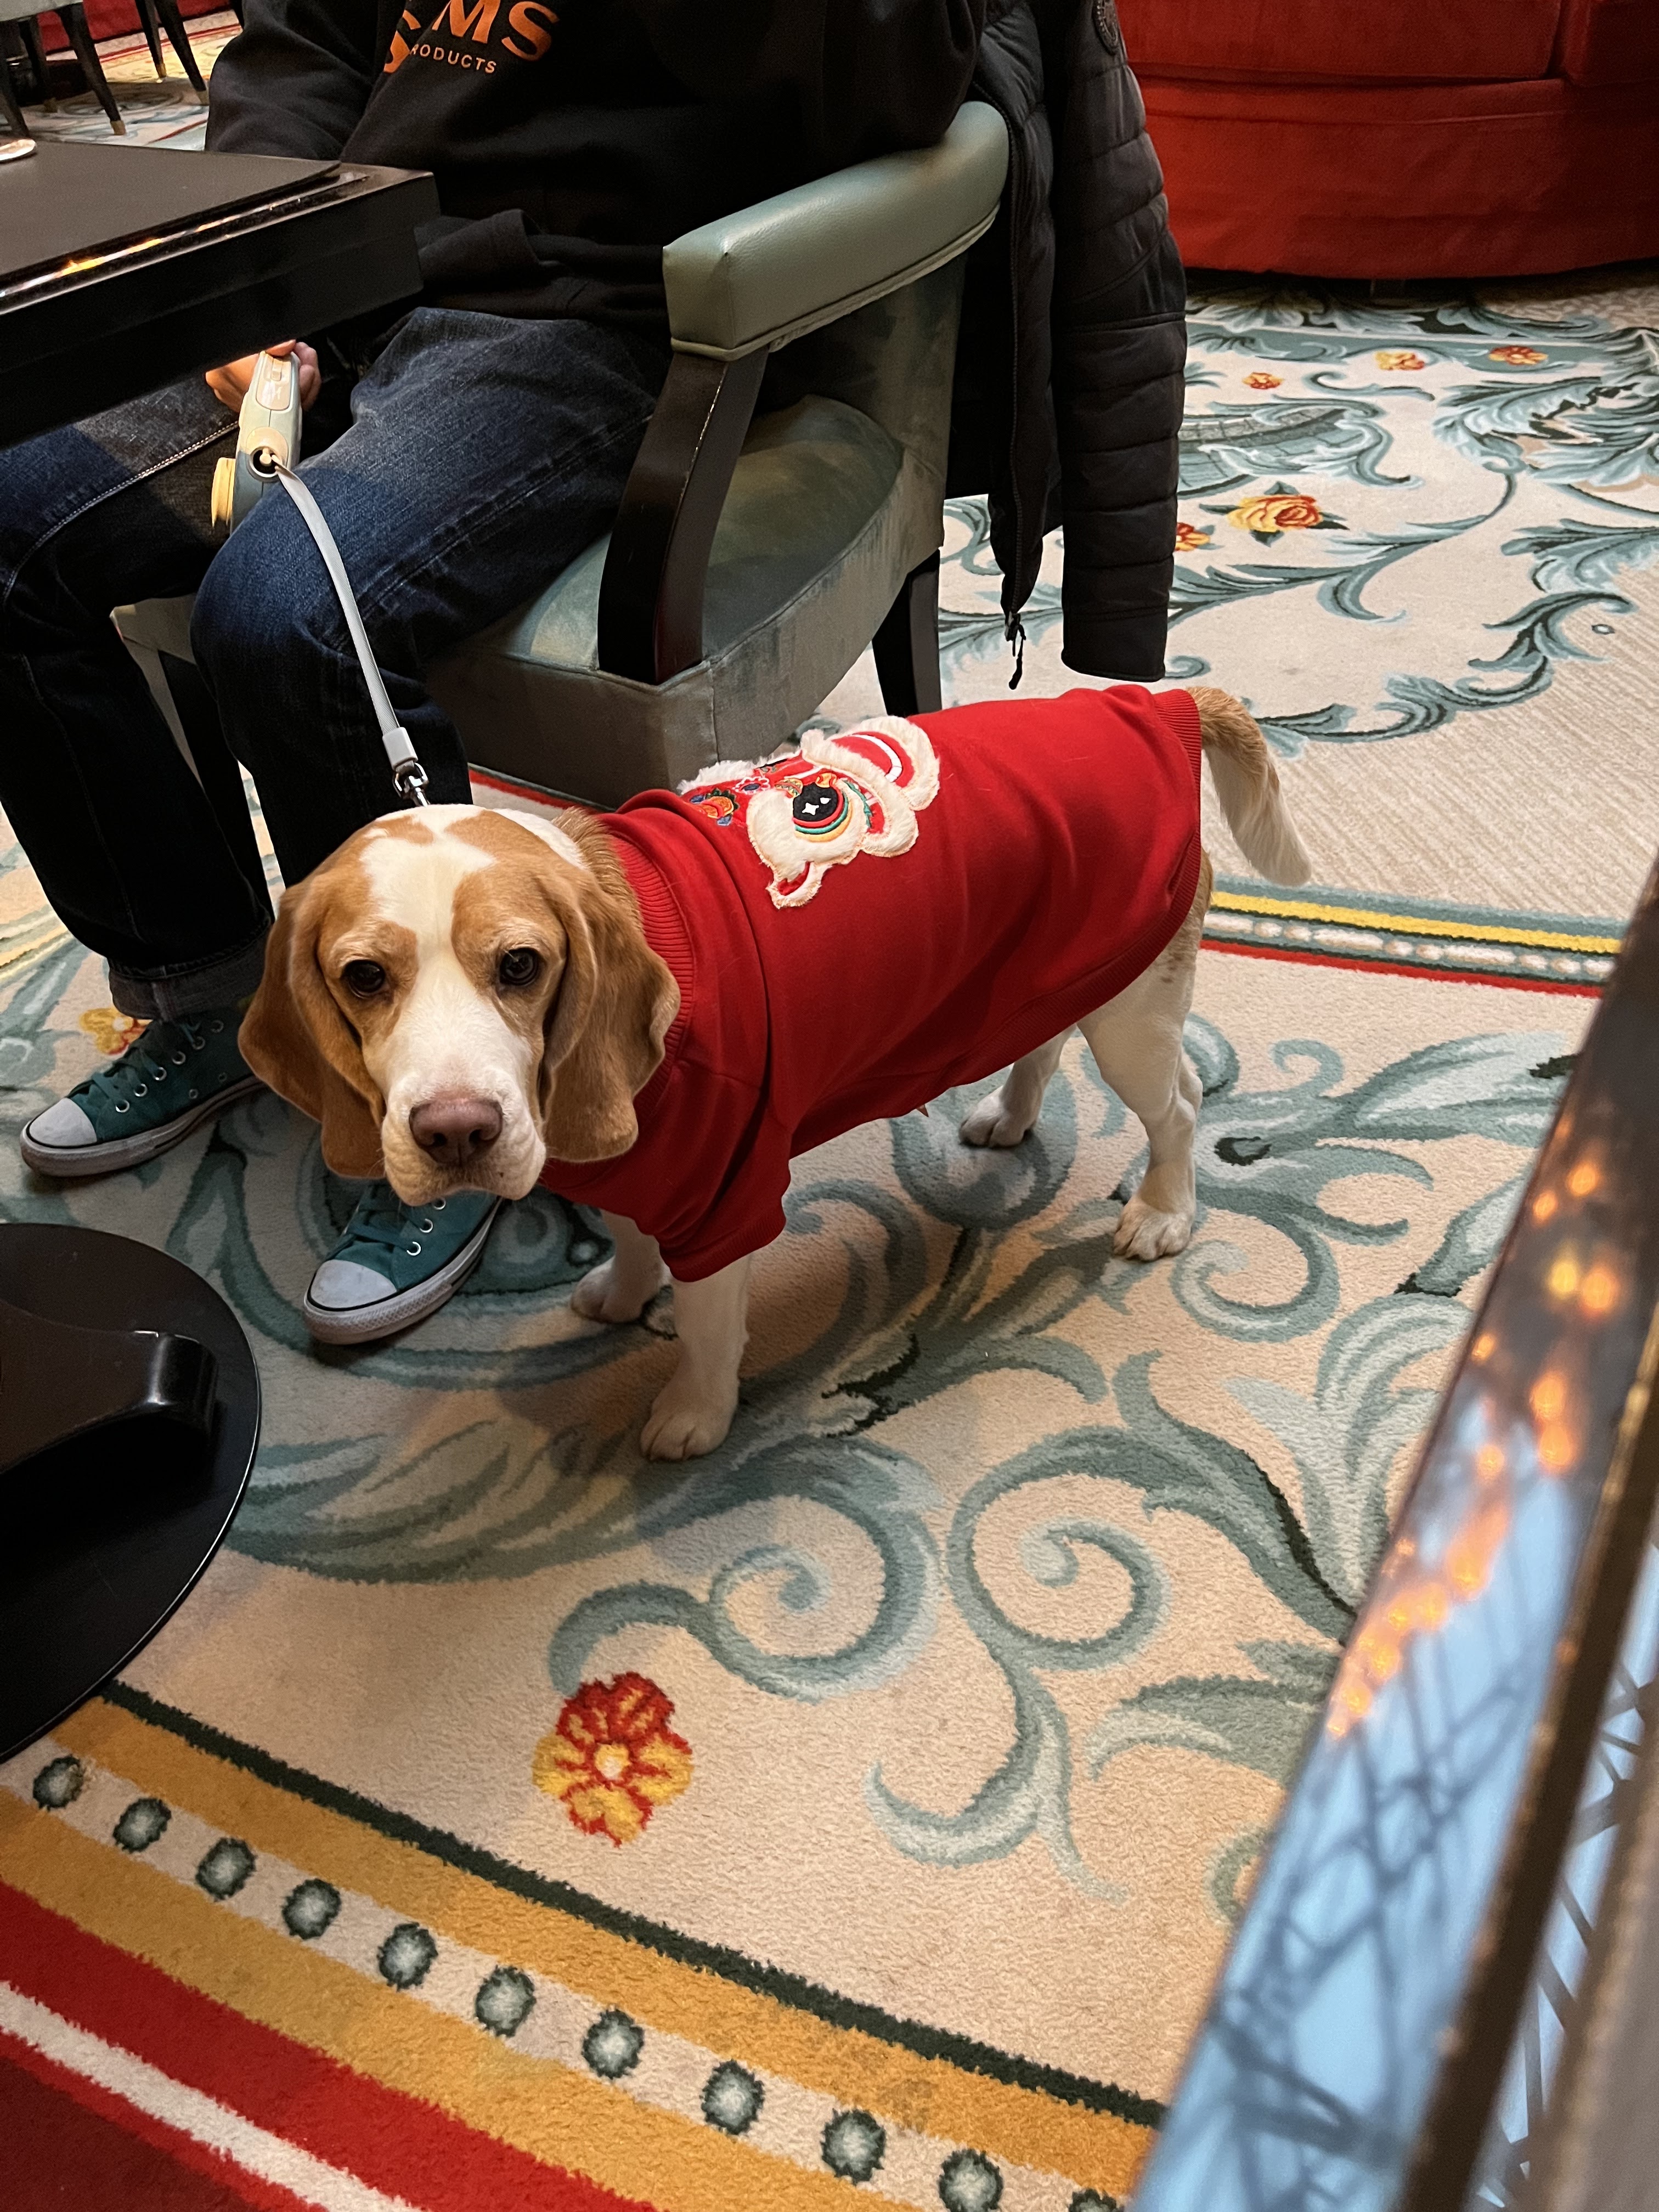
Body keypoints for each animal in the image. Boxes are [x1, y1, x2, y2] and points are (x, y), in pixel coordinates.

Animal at [242, 685, 1310, 1460]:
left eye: (519, 965)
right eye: (363, 977)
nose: (456, 1131)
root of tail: (1151, 706)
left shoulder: (725, 1197)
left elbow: (708, 1327)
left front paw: (692, 1413)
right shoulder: (642, 1166)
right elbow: (632, 1240)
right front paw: (624, 1293)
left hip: (1131, 1020)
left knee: (1179, 1109)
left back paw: (1164, 1210)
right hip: (1051, 977)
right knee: (1040, 1044)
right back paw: (1009, 1114)